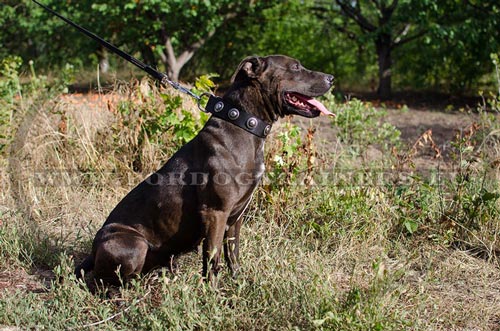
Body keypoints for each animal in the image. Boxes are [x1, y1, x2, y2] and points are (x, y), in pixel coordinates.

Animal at [76, 54, 334, 286]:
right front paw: (212, 294)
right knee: (102, 283)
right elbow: (212, 259)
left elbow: (232, 255)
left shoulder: (235, 217)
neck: (243, 123)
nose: (331, 77)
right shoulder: (216, 213)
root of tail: (93, 251)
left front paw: (238, 285)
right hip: (134, 243)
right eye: (296, 67)